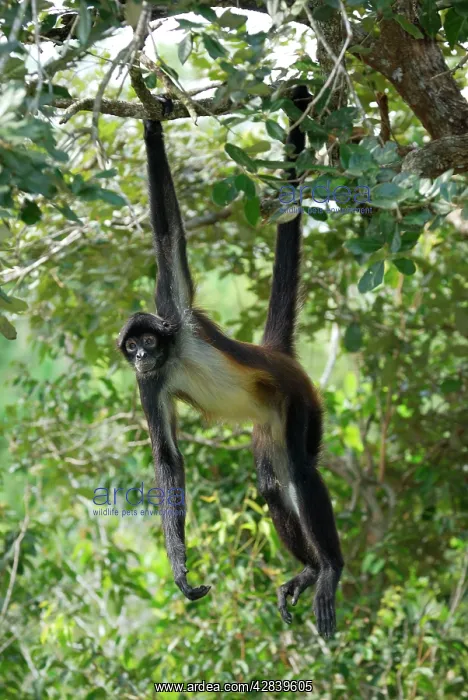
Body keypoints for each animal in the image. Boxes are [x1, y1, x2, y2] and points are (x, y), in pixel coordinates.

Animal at [117, 87, 344, 636]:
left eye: (146, 342)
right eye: (131, 350)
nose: (140, 357)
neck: (173, 354)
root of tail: (275, 355)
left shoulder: (175, 314)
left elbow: (168, 236)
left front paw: (152, 124)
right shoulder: (148, 384)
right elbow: (168, 459)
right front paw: (180, 568)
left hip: (299, 400)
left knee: (301, 470)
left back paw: (330, 569)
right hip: (268, 423)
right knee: (272, 483)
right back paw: (309, 570)